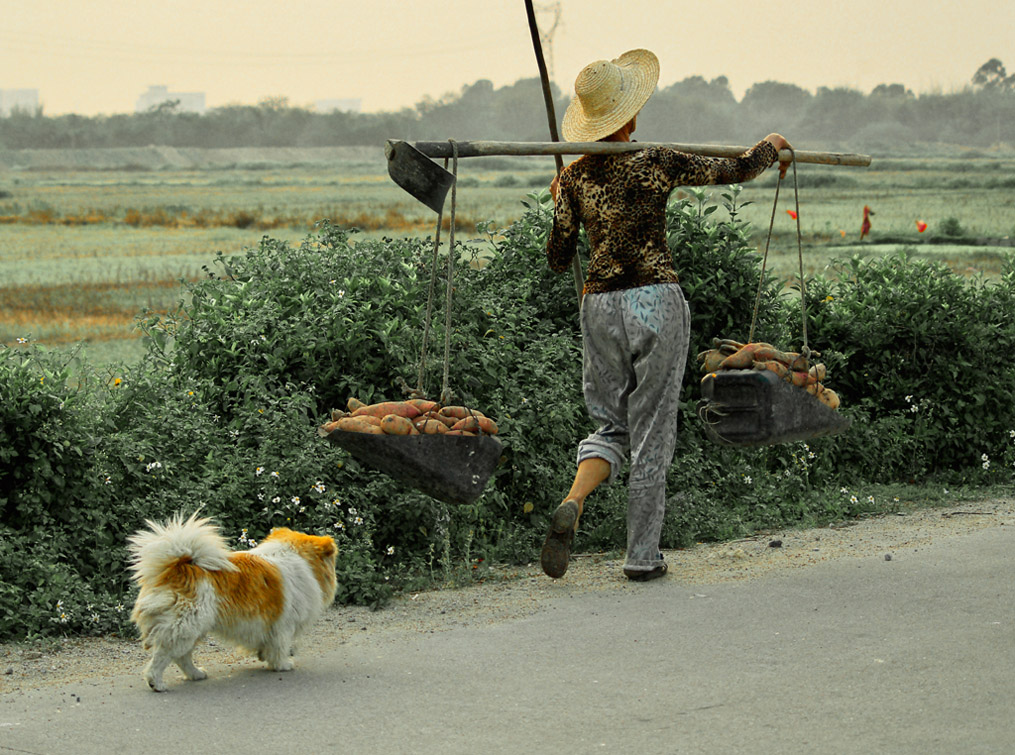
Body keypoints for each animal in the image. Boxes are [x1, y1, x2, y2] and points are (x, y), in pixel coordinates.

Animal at [126, 509, 336, 694]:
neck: (297, 557)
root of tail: (179, 567)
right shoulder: (283, 624)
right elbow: (280, 646)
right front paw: (283, 665)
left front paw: (264, 656)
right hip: (184, 626)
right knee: (163, 656)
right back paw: (157, 683)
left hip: (192, 628)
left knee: (182, 656)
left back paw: (196, 674)